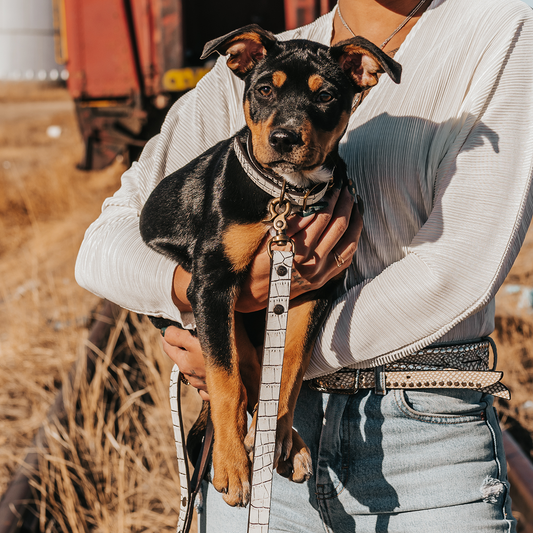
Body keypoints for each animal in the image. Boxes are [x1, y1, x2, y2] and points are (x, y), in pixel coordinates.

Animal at [139, 26, 396, 508]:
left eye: (326, 95)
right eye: (263, 90)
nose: (283, 139)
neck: (287, 194)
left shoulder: (314, 290)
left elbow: (288, 367)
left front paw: (277, 437)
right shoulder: (211, 284)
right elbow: (224, 380)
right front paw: (232, 465)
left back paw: (284, 441)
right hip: (197, 313)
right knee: (237, 372)